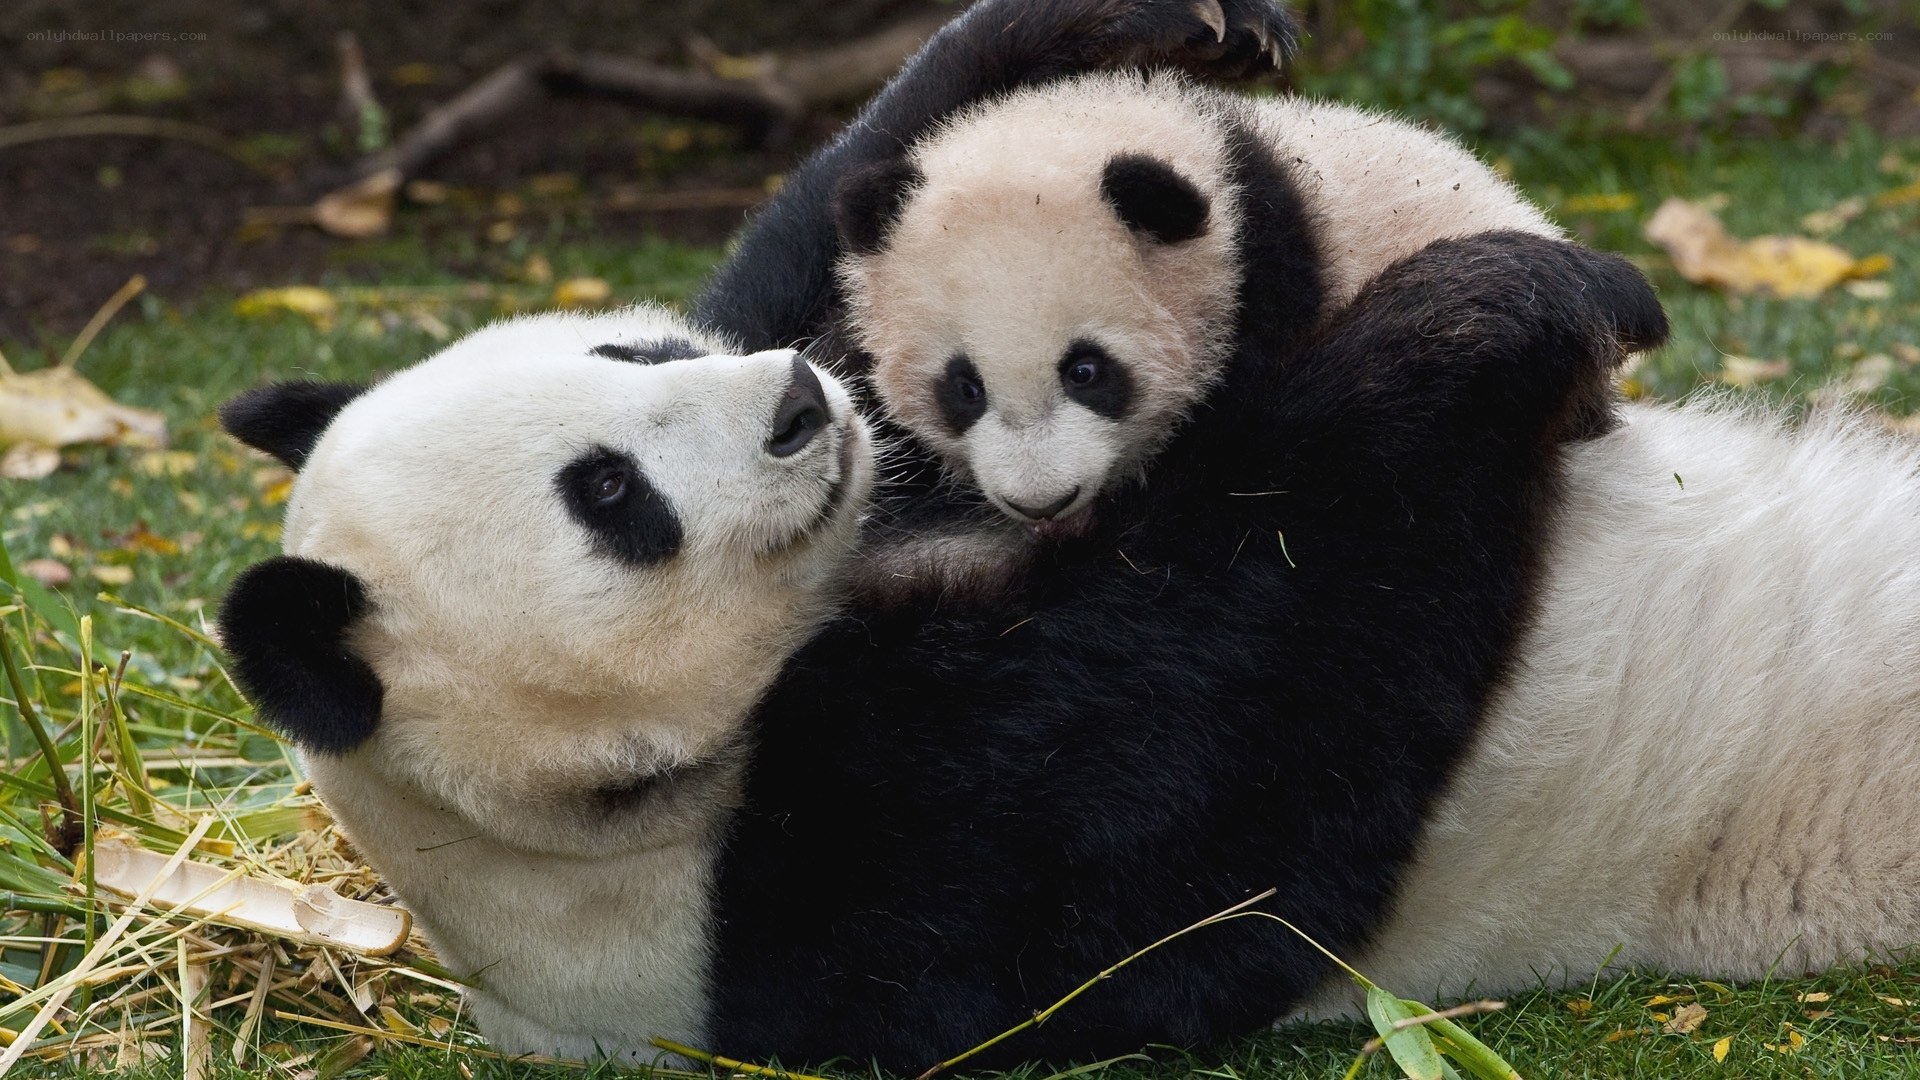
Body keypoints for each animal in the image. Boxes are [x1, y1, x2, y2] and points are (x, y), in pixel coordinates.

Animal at [216, 231, 1652, 1069]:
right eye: (610, 494)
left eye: (633, 346)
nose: (800, 402)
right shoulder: (839, 895)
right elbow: (1254, 731)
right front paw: (1495, 307)